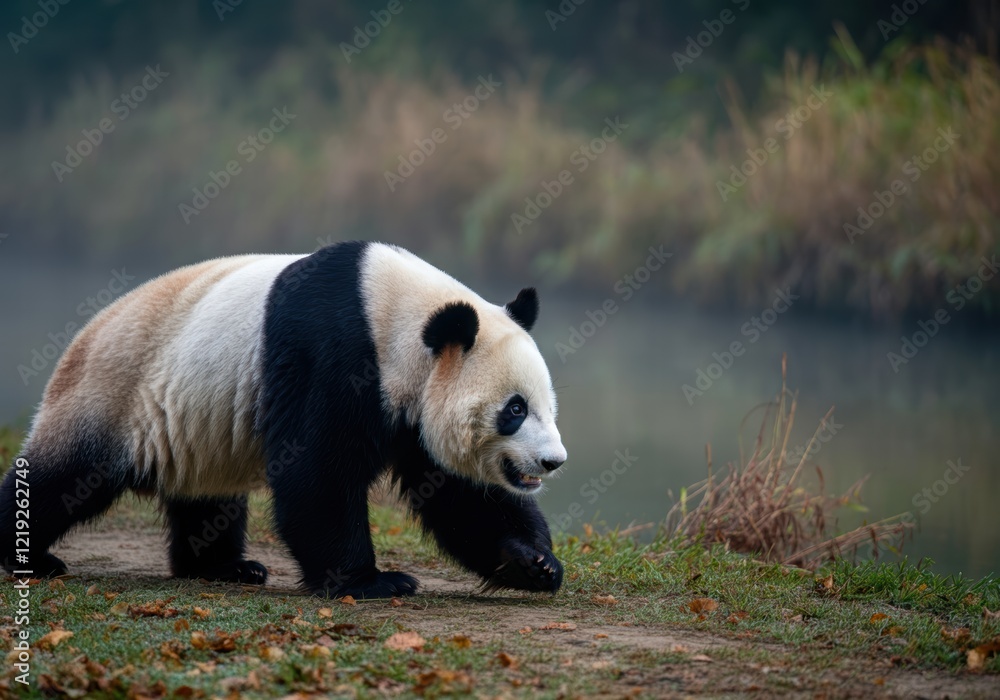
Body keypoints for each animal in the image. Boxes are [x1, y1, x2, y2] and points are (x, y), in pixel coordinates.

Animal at [0, 241, 568, 598]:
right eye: (515, 409)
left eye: (548, 406)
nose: (553, 462)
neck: (396, 314)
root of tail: (81, 337)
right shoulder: (335, 351)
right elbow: (317, 471)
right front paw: (373, 582)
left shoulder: (413, 409)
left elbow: (459, 492)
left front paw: (533, 562)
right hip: (113, 393)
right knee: (64, 478)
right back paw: (29, 556)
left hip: (194, 421)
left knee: (207, 497)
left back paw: (222, 567)